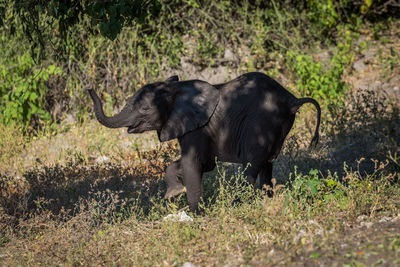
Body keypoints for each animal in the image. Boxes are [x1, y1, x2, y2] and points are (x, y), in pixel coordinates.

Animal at [89, 72, 320, 213]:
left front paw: (194, 215)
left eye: (145, 109)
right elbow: (200, 165)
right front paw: (173, 194)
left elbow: (193, 163)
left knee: (251, 166)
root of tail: (292, 100)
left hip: (261, 122)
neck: (177, 90)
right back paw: (266, 200)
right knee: (266, 165)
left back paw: (238, 204)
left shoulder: (197, 127)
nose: (89, 89)